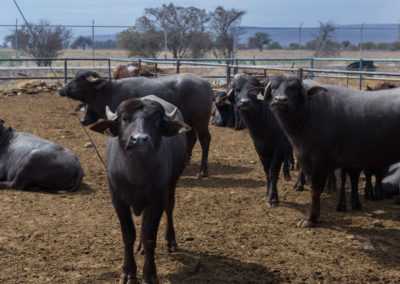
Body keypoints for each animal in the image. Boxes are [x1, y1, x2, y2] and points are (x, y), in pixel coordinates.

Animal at [59, 70, 212, 176]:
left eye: (79, 80)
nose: (61, 89)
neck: (110, 91)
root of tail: (206, 84)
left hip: (201, 121)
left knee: (205, 140)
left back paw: (203, 170)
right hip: (188, 121)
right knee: (191, 138)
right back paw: (186, 163)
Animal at [90, 96, 191, 284]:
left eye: (157, 120)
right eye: (124, 118)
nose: (140, 139)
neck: (136, 175)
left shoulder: (157, 199)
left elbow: (149, 237)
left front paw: (149, 274)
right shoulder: (117, 199)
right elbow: (128, 234)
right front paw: (128, 272)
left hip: (172, 183)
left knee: (169, 207)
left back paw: (170, 240)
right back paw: (139, 248)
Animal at [266, 74, 400, 227]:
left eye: (294, 88)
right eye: (274, 87)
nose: (280, 100)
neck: (309, 114)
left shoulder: (320, 161)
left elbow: (316, 188)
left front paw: (310, 217)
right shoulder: (307, 160)